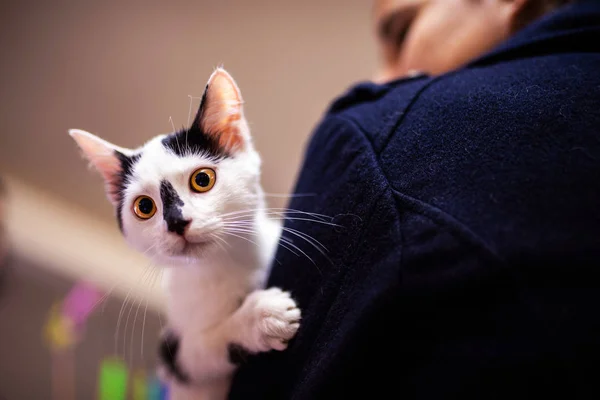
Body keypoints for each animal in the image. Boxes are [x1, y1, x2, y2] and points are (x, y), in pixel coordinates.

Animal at [69, 69, 300, 400]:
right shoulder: (174, 355)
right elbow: (205, 347)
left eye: (202, 179)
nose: (178, 221)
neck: (226, 266)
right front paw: (261, 317)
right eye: (144, 206)